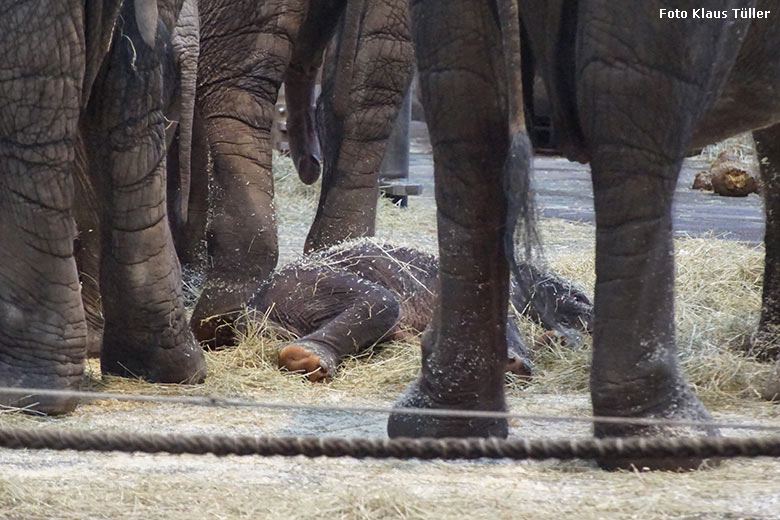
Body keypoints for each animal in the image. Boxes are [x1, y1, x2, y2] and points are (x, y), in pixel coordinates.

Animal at [201, 240, 592, 382]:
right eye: (578, 296)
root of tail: (254, 311)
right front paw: (516, 363)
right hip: (307, 285)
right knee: (381, 302)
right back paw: (306, 360)